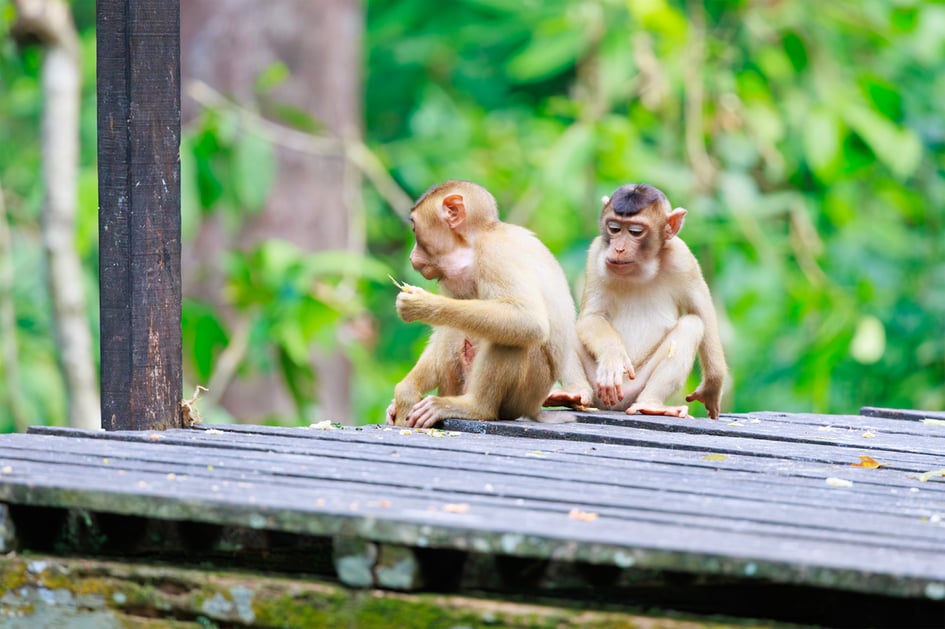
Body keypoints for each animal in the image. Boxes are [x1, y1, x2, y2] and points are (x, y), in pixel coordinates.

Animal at [386, 180, 591, 428]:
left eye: (415, 229)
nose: (412, 257)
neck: (476, 243)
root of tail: (533, 408)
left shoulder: (496, 254)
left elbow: (529, 319)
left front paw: (422, 304)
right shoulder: (450, 278)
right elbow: (443, 328)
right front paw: (406, 392)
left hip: (523, 394)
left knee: (514, 338)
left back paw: (474, 407)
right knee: (454, 330)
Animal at [576, 183, 727, 419]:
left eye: (635, 232)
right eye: (614, 228)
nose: (618, 248)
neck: (639, 269)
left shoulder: (683, 258)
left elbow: (702, 311)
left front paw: (712, 385)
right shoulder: (596, 253)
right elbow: (591, 317)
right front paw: (612, 355)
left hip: (636, 387)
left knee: (691, 325)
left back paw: (651, 404)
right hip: (598, 388)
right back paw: (571, 394)